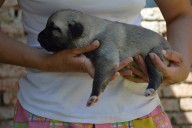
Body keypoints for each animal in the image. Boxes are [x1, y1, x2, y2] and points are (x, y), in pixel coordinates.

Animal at [38, 9, 170, 107]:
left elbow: (97, 79)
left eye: (54, 28)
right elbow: (103, 79)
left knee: (156, 75)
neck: (93, 32)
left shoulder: (106, 60)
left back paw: (150, 89)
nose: (38, 37)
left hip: (152, 55)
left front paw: (94, 95)